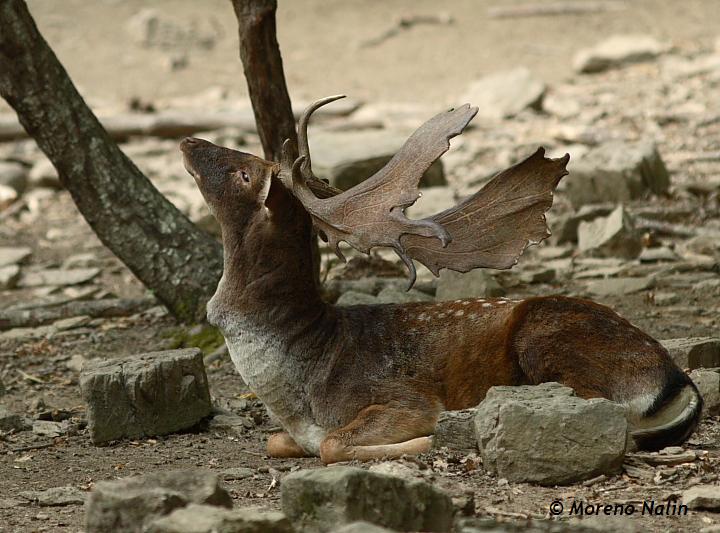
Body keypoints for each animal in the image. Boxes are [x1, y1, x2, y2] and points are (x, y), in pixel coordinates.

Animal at [181, 97, 704, 464]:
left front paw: (426, 439)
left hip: (549, 336)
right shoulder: (291, 430)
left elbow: (333, 444)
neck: (299, 389)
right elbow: (276, 441)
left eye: (243, 171)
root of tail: (676, 379)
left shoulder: (399, 398)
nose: (190, 142)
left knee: (599, 407)